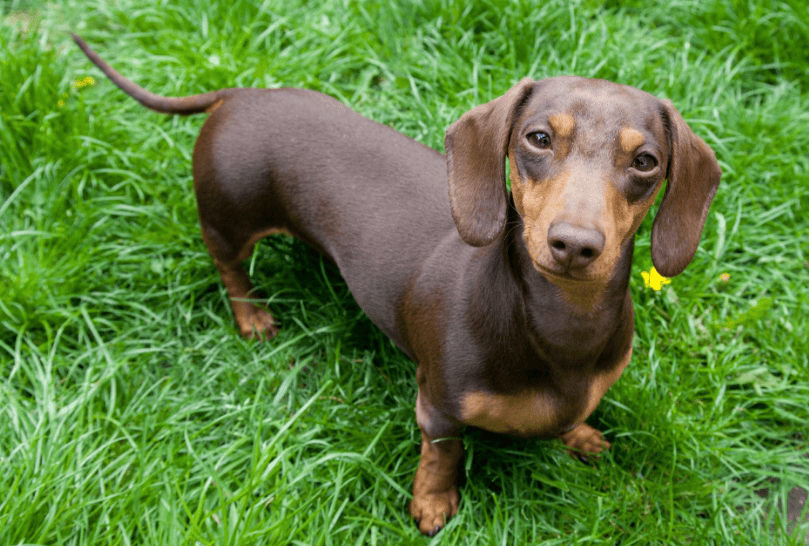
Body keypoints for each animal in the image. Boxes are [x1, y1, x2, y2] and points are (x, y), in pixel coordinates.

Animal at [74, 31, 720, 532]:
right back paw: (252, 316)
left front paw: (581, 436)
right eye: (537, 138)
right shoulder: (437, 405)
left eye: (646, 162)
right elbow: (444, 455)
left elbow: (574, 415)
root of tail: (241, 94)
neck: (560, 326)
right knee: (229, 267)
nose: (575, 244)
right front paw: (432, 505)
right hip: (227, 217)